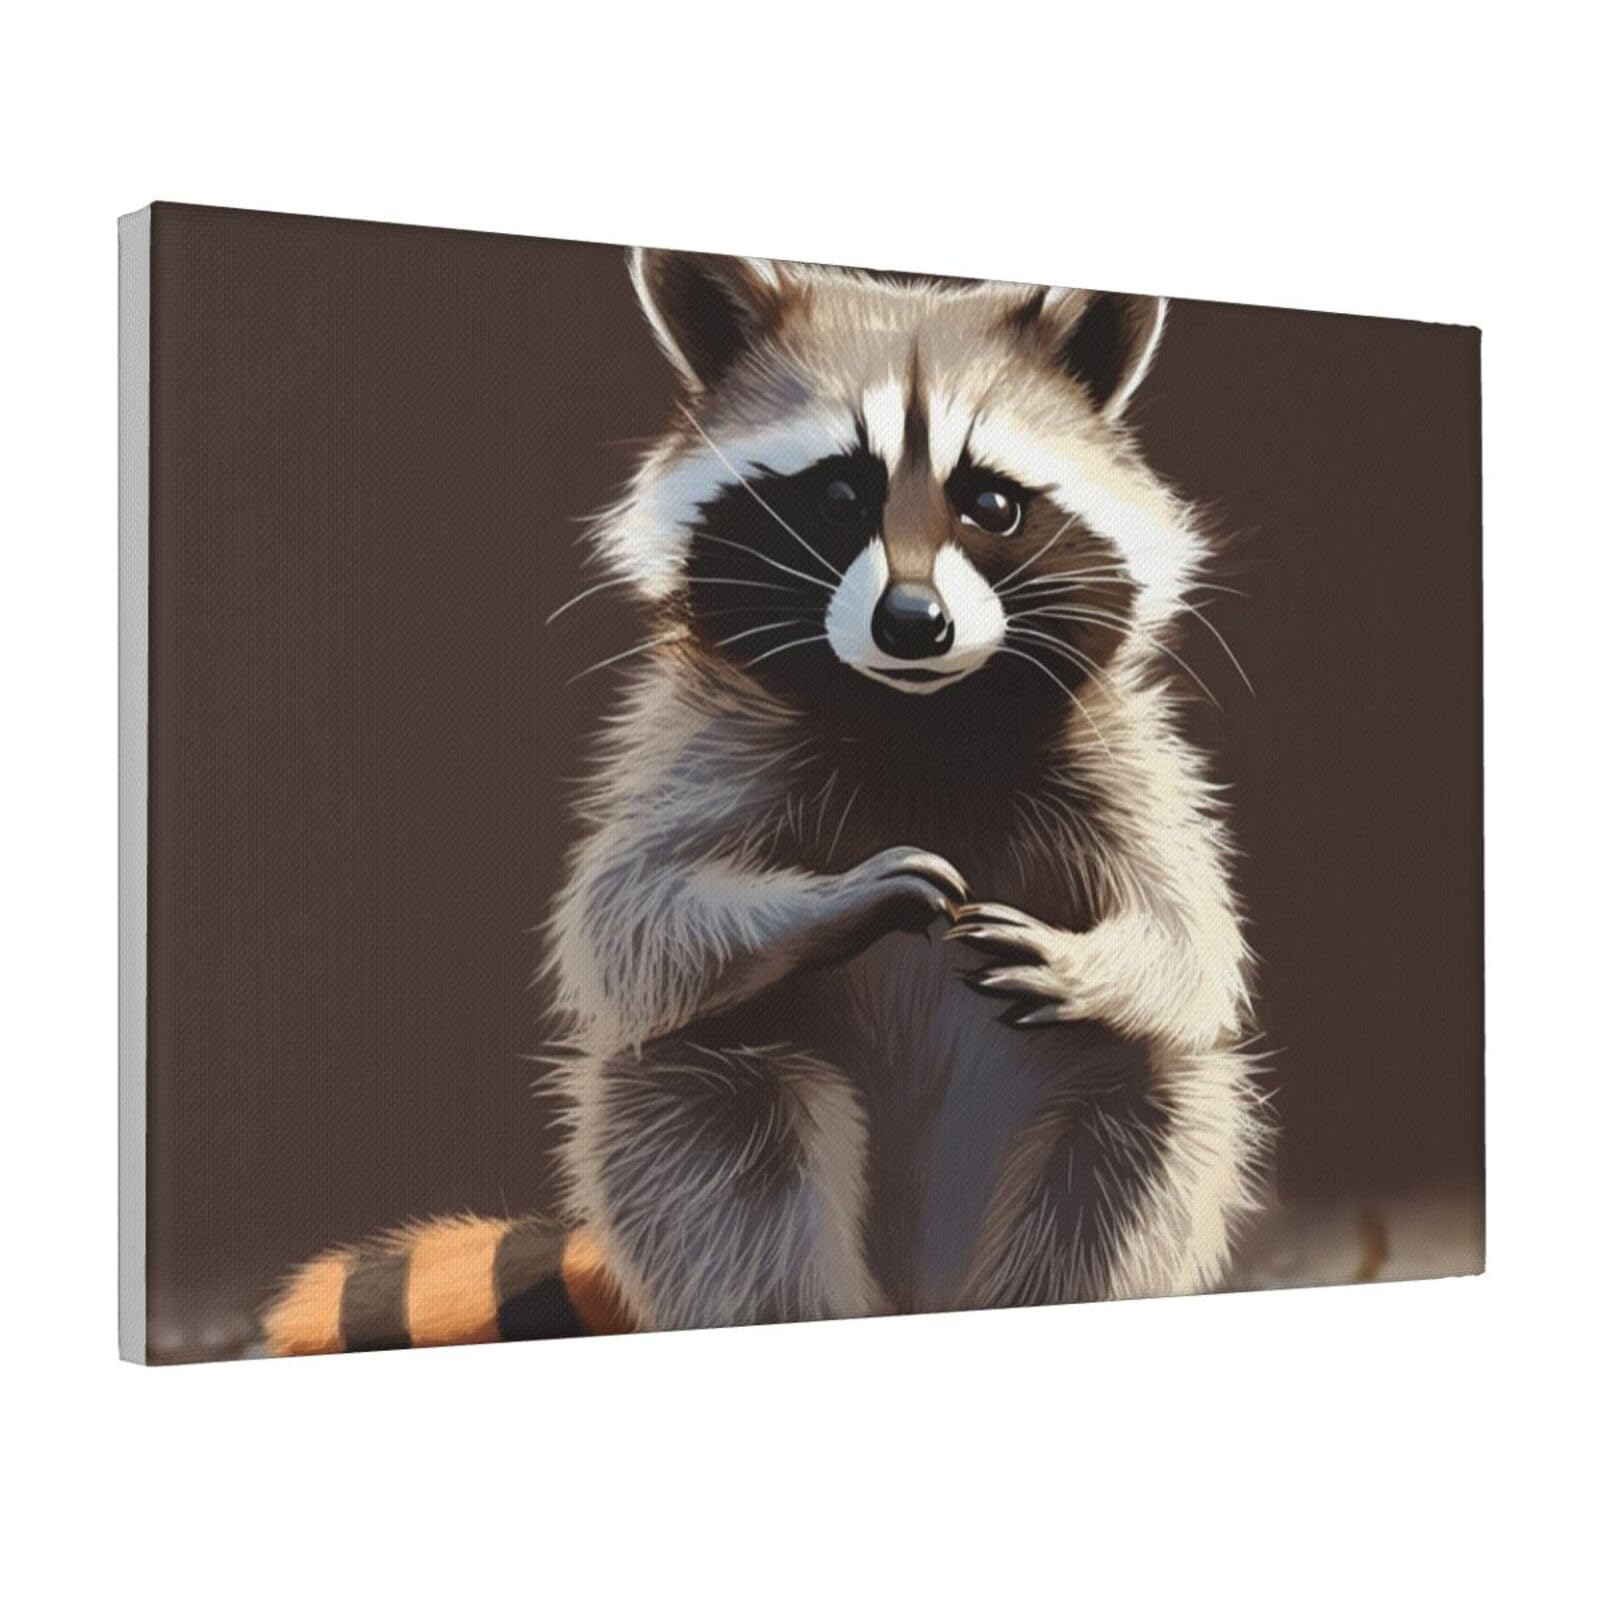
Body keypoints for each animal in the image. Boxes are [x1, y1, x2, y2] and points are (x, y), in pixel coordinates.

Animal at [263, 248, 1262, 1355]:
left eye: (990, 505)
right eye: (839, 493)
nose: (913, 622)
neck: (917, 718)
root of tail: (915, 1285)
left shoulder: (1119, 755)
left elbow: (1191, 941)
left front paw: (1097, 963)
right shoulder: (702, 741)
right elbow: (627, 923)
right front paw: (834, 900)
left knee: (1138, 1107)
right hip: (695, 1132)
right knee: (722, 1135)